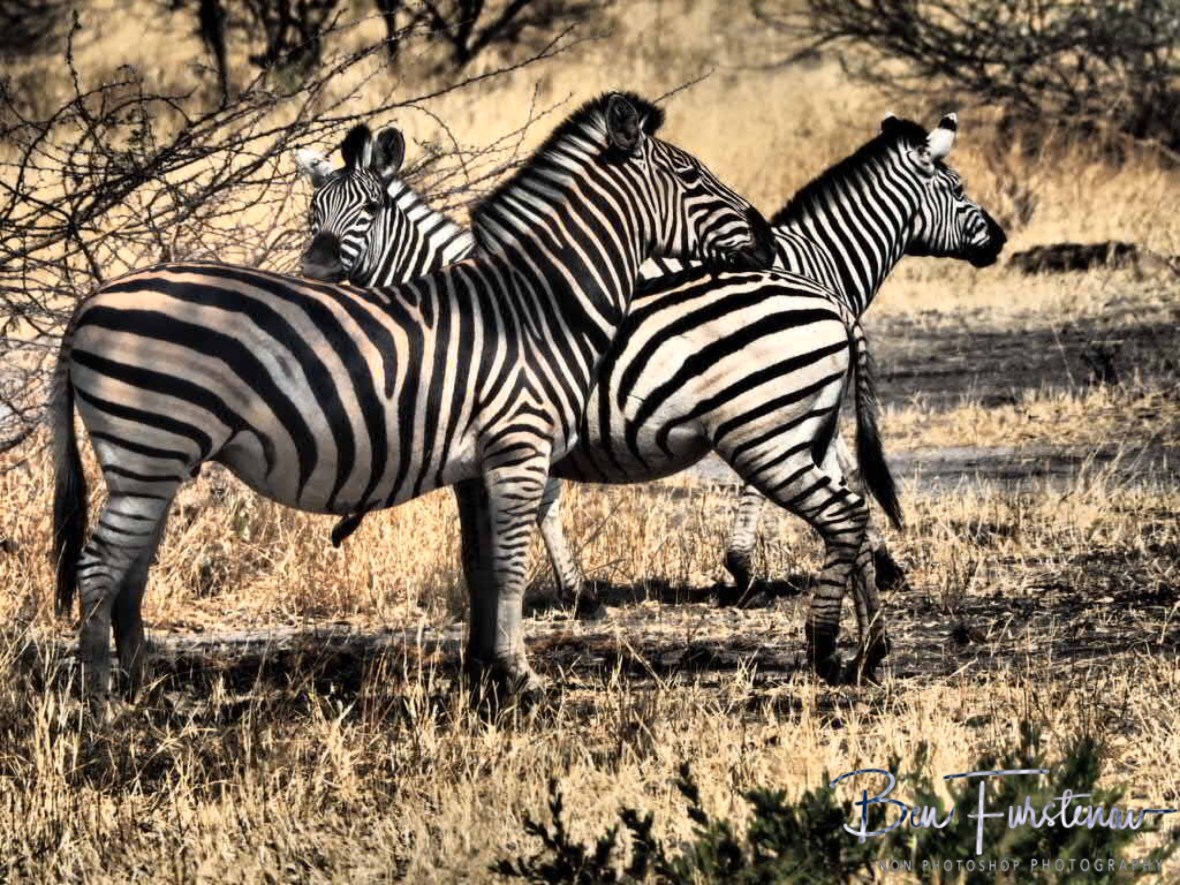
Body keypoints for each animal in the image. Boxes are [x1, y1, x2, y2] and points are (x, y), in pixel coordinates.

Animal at [51, 92, 776, 702]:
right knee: (98, 566)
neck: (545, 303)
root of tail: (89, 303)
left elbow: (482, 564)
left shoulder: (480, 462)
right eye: (692, 177)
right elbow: (511, 566)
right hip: (148, 447)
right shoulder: (519, 446)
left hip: (156, 458)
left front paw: (488, 670)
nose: (767, 236)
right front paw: (522, 676)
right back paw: (101, 701)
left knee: (130, 567)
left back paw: (142, 687)